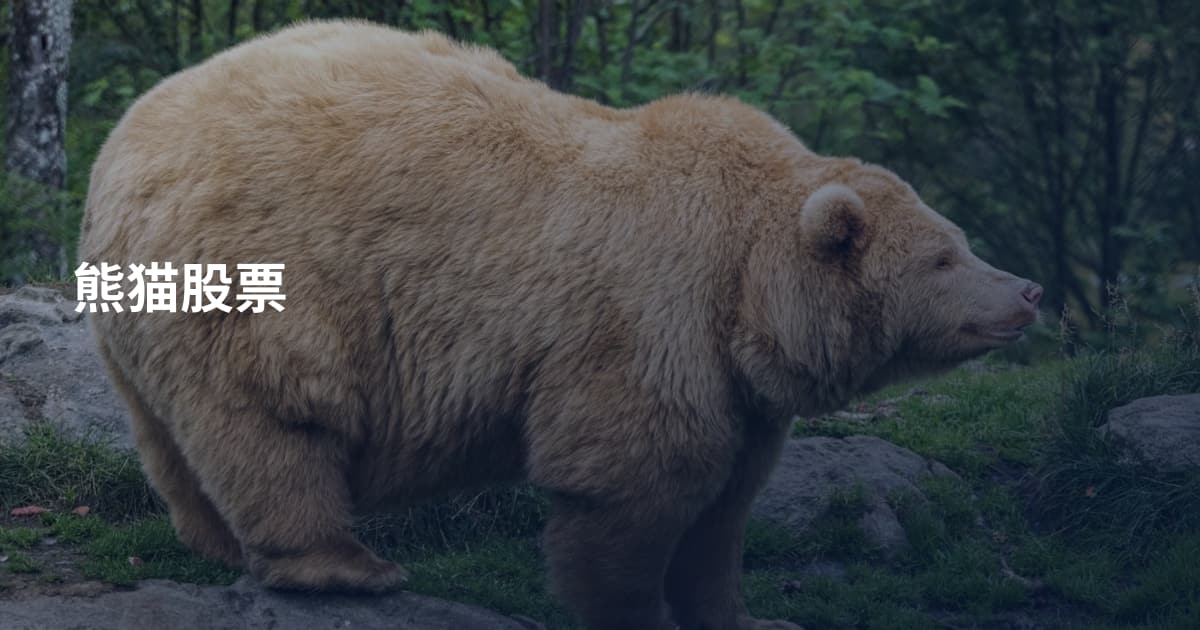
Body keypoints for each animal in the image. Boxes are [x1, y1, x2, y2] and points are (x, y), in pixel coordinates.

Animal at [79, 20, 1042, 630]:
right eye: (945, 258)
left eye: (960, 239)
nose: (1028, 290)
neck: (747, 286)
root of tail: (120, 152)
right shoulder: (650, 313)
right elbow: (636, 483)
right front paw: (633, 608)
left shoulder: (736, 382)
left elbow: (726, 506)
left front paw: (749, 615)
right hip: (263, 276)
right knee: (279, 420)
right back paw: (345, 565)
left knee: (175, 440)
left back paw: (216, 543)